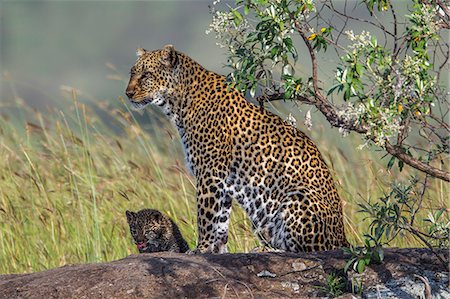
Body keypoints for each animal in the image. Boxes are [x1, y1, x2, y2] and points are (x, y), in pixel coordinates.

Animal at [125, 44, 350, 254]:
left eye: (146, 75)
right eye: (132, 73)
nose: (128, 93)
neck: (178, 104)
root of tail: (343, 239)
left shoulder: (209, 174)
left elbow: (205, 217)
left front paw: (200, 249)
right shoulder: (223, 181)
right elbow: (220, 221)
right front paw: (217, 250)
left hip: (297, 198)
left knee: (304, 250)